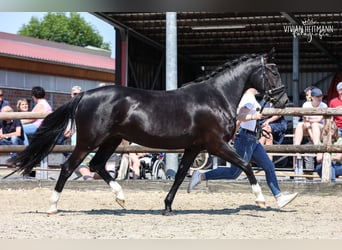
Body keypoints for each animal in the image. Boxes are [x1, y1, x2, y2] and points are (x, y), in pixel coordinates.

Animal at [8, 49, 288, 215]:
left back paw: (121, 198)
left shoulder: (194, 147)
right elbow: (246, 166)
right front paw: (262, 200)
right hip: (89, 141)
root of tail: (84, 95)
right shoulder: (216, 144)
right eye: (273, 72)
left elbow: (180, 175)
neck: (216, 97)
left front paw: (167, 207)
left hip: (112, 140)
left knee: (98, 165)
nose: (284, 100)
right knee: (69, 168)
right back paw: (53, 207)